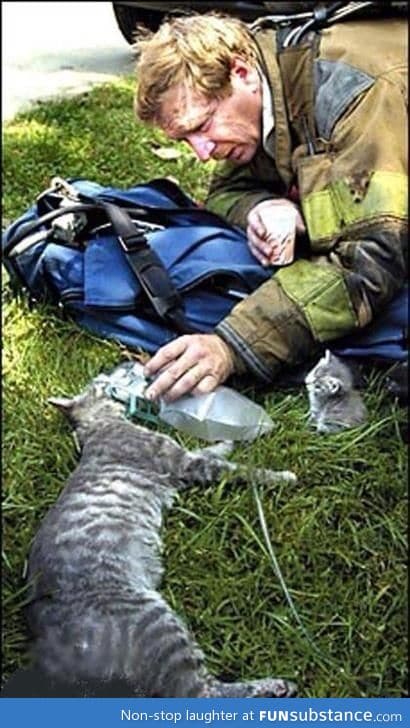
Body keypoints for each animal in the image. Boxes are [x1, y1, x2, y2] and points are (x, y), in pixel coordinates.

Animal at [27, 378, 298, 696]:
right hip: (159, 623)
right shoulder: (185, 463)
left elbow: (212, 450)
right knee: (206, 691)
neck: (99, 425)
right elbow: (242, 470)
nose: (106, 380)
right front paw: (282, 475)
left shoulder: (188, 459)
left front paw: (228, 441)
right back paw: (277, 685)